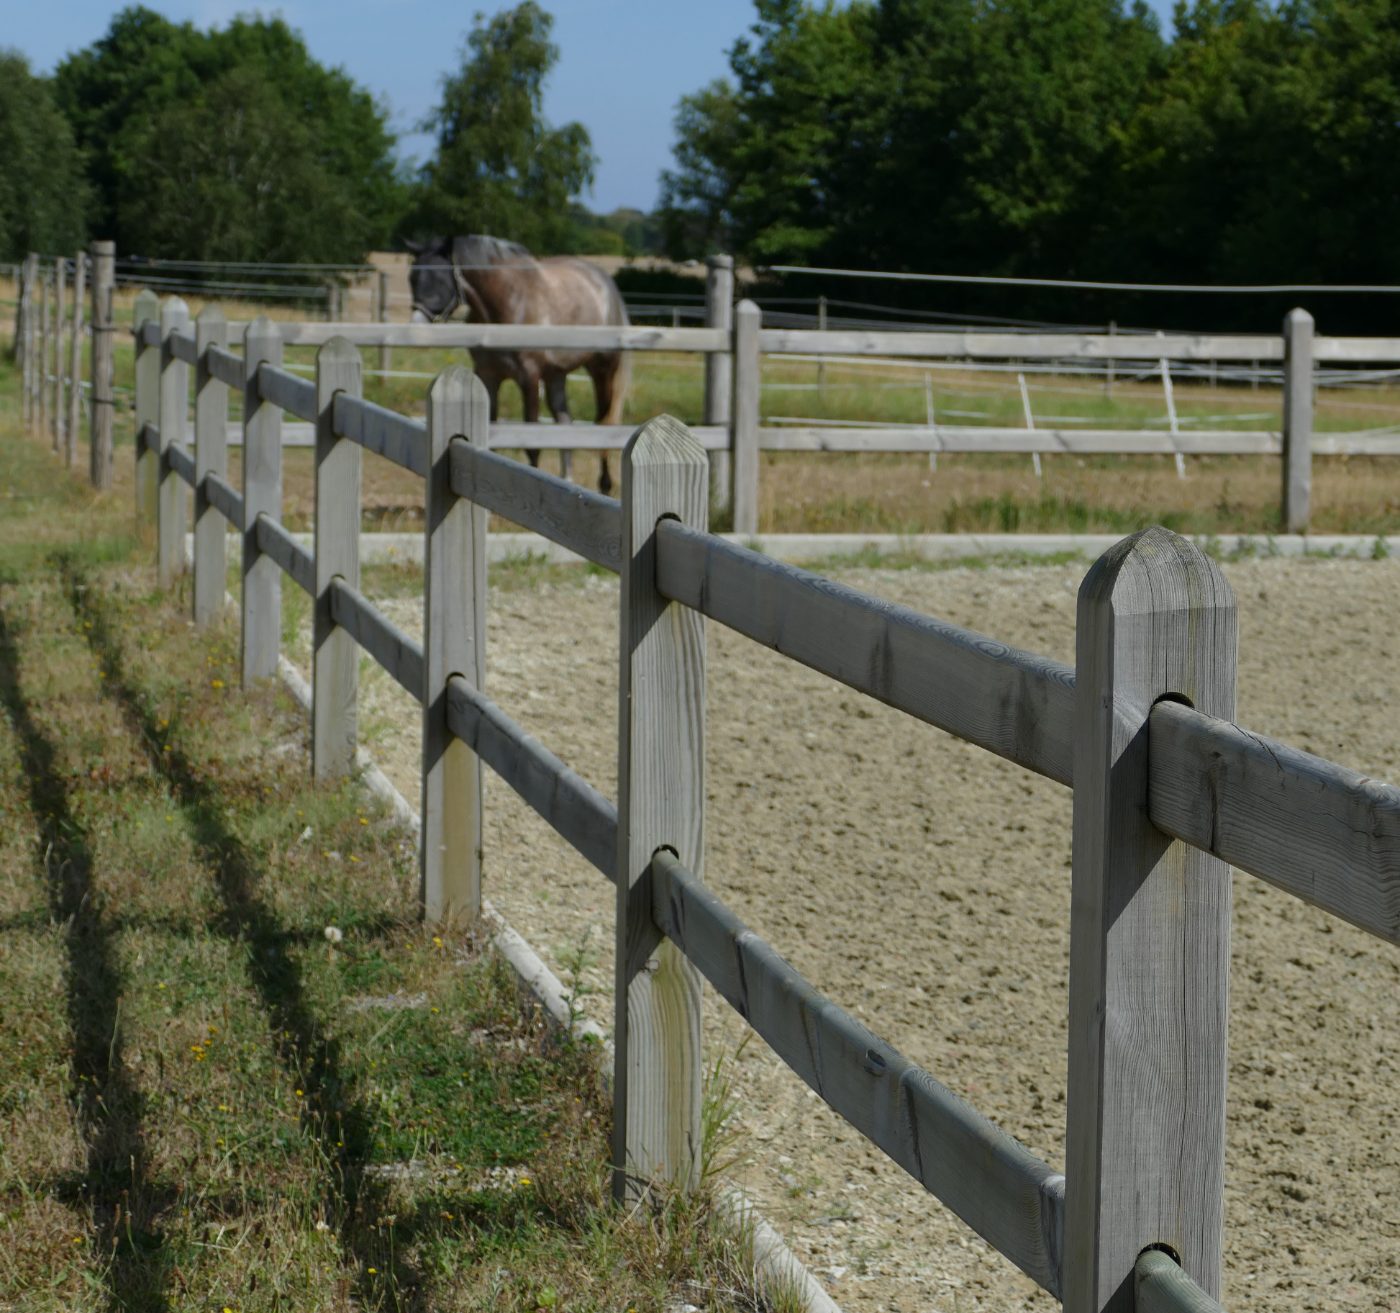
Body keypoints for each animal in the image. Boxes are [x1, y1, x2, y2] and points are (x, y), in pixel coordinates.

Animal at [406, 235, 629, 495]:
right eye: (412, 278)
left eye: (440, 279)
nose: (416, 329)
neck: (509, 302)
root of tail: (605, 284)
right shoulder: (489, 376)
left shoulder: (529, 378)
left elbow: (532, 443)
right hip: (556, 376)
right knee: (565, 421)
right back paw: (568, 479)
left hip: (602, 371)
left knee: (603, 423)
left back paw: (605, 484)